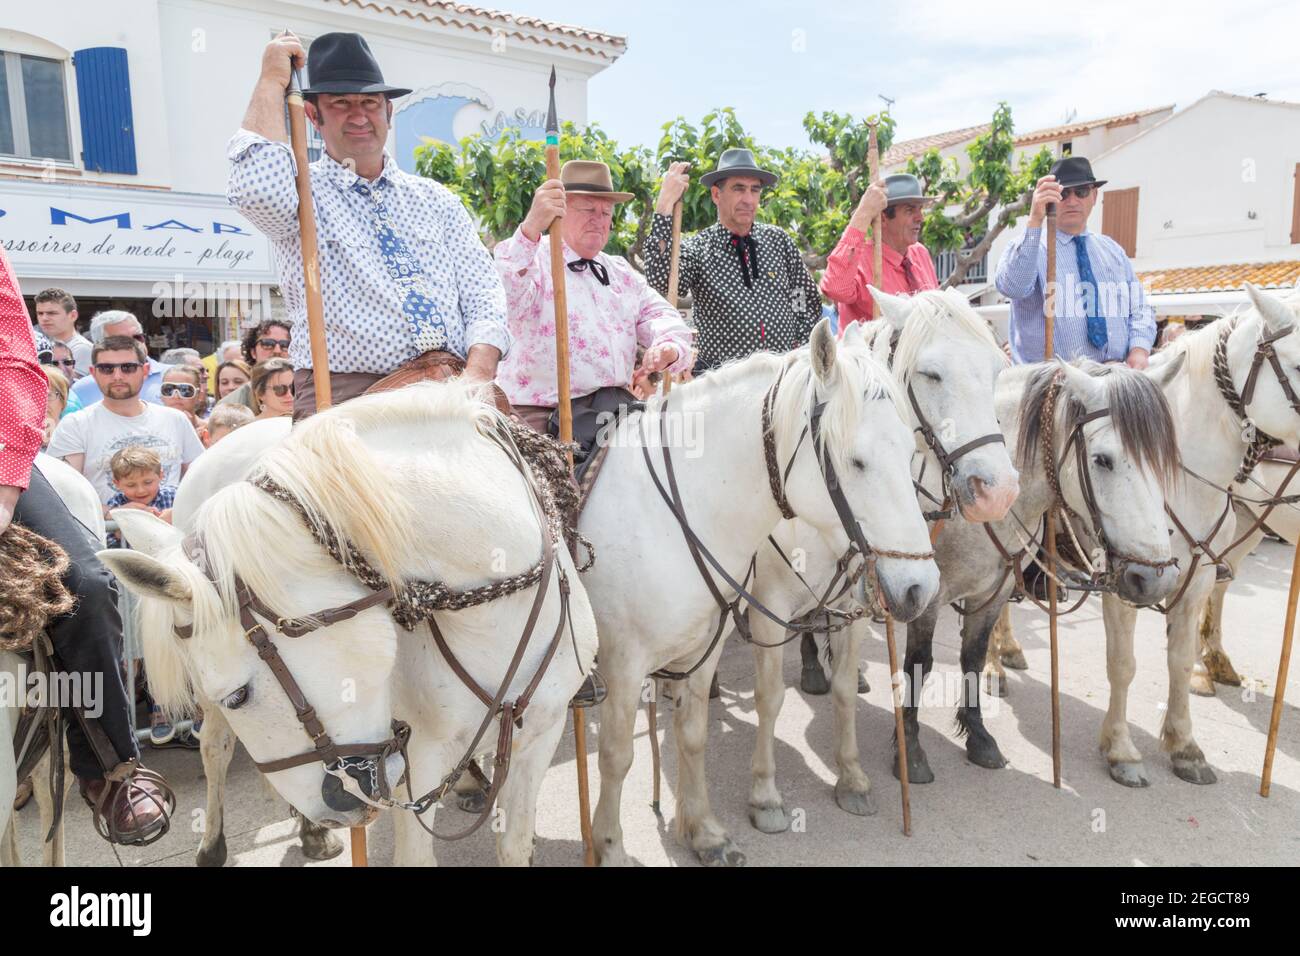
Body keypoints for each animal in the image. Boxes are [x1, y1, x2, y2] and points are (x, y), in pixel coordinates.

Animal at [101, 382, 598, 868]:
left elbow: (514, 843)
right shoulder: (419, 760)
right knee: (214, 746)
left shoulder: (540, 735)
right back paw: (226, 842)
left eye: (240, 695)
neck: (495, 614)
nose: (336, 805)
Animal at [585, 321, 941, 868]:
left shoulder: (703, 647)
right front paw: (610, 847)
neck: (669, 517)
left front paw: (704, 831)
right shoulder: (624, 662)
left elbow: (693, 734)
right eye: (857, 461)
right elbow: (616, 756)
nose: (921, 587)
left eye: (909, 454)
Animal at [738, 283, 1019, 832]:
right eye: (931, 373)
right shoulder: (769, 607)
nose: (996, 492)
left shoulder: (857, 597)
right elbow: (769, 697)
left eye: (997, 369)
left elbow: (857, 683)